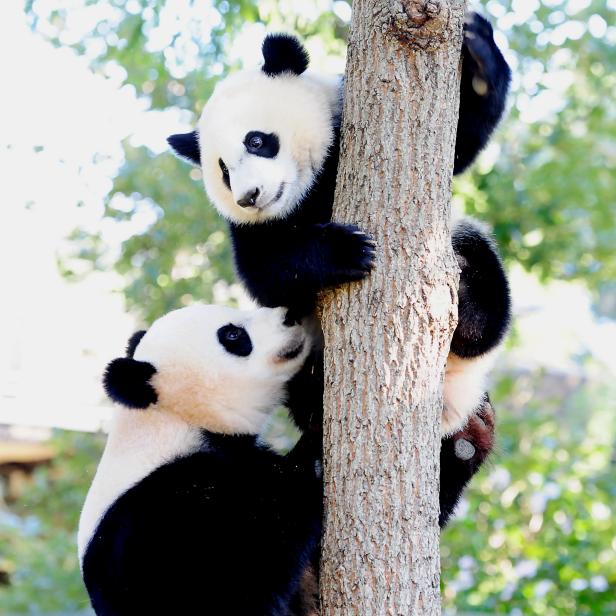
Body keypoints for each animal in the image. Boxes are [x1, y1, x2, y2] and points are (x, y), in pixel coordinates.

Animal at [77, 306, 324, 616]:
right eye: (233, 335)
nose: (289, 315)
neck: (173, 419)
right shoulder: (167, 515)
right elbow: (246, 569)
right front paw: (309, 459)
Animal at [167, 15, 510, 516]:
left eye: (257, 141)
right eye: (223, 171)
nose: (249, 196)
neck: (306, 191)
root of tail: (450, 408)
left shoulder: (345, 124)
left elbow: (459, 145)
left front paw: (480, 55)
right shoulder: (251, 230)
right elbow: (266, 275)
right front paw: (344, 252)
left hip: (457, 256)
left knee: (481, 279)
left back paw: (468, 315)